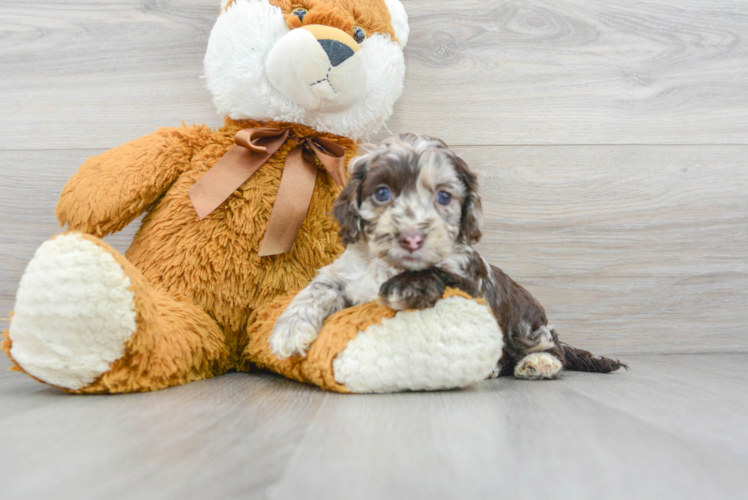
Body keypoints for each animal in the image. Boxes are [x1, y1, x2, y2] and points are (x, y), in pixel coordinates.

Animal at [270, 133, 624, 378]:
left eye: (443, 197)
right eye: (382, 193)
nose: (412, 237)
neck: (388, 265)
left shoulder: (468, 282)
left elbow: (438, 272)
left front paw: (405, 286)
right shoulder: (342, 276)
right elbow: (316, 289)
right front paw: (288, 331)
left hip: (527, 325)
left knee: (552, 348)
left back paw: (538, 362)